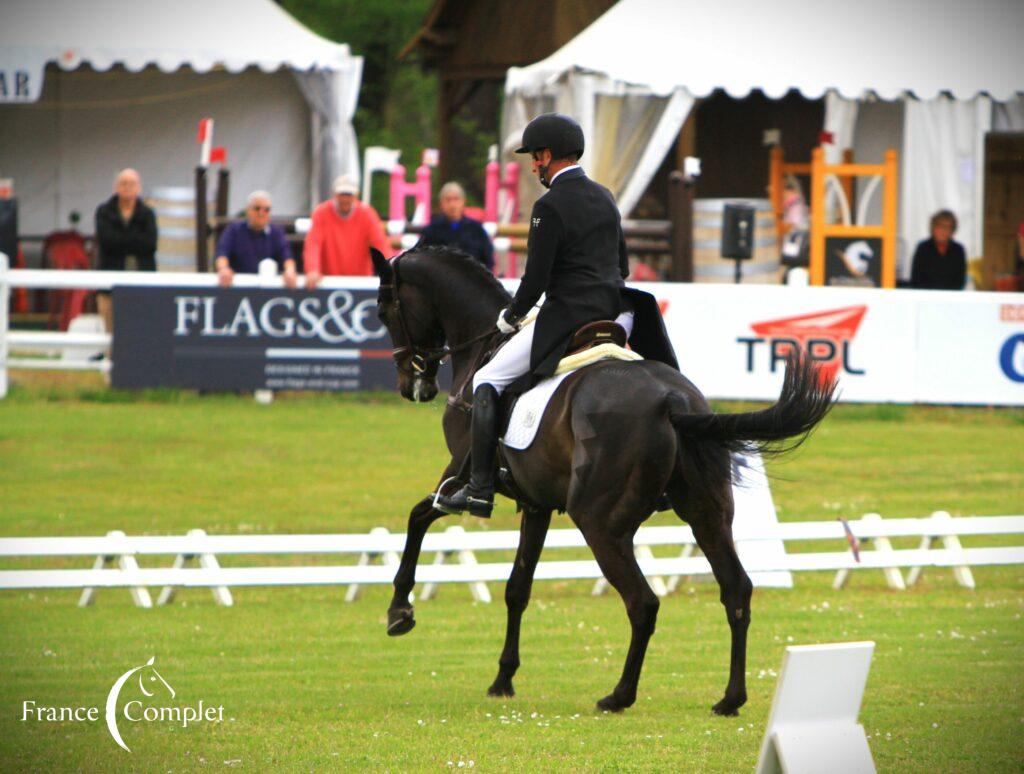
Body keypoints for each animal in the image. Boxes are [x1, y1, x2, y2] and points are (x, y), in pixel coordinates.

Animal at [372, 247, 835, 712]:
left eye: (383, 310)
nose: (413, 387)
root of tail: (673, 400)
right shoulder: (536, 503)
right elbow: (517, 588)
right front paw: (503, 679)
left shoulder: (460, 473)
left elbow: (419, 517)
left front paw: (400, 612)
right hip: (708, 514)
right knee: (735, 590)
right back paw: (730, 698)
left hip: (600, 523)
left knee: (643, 603)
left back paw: (619, 695)